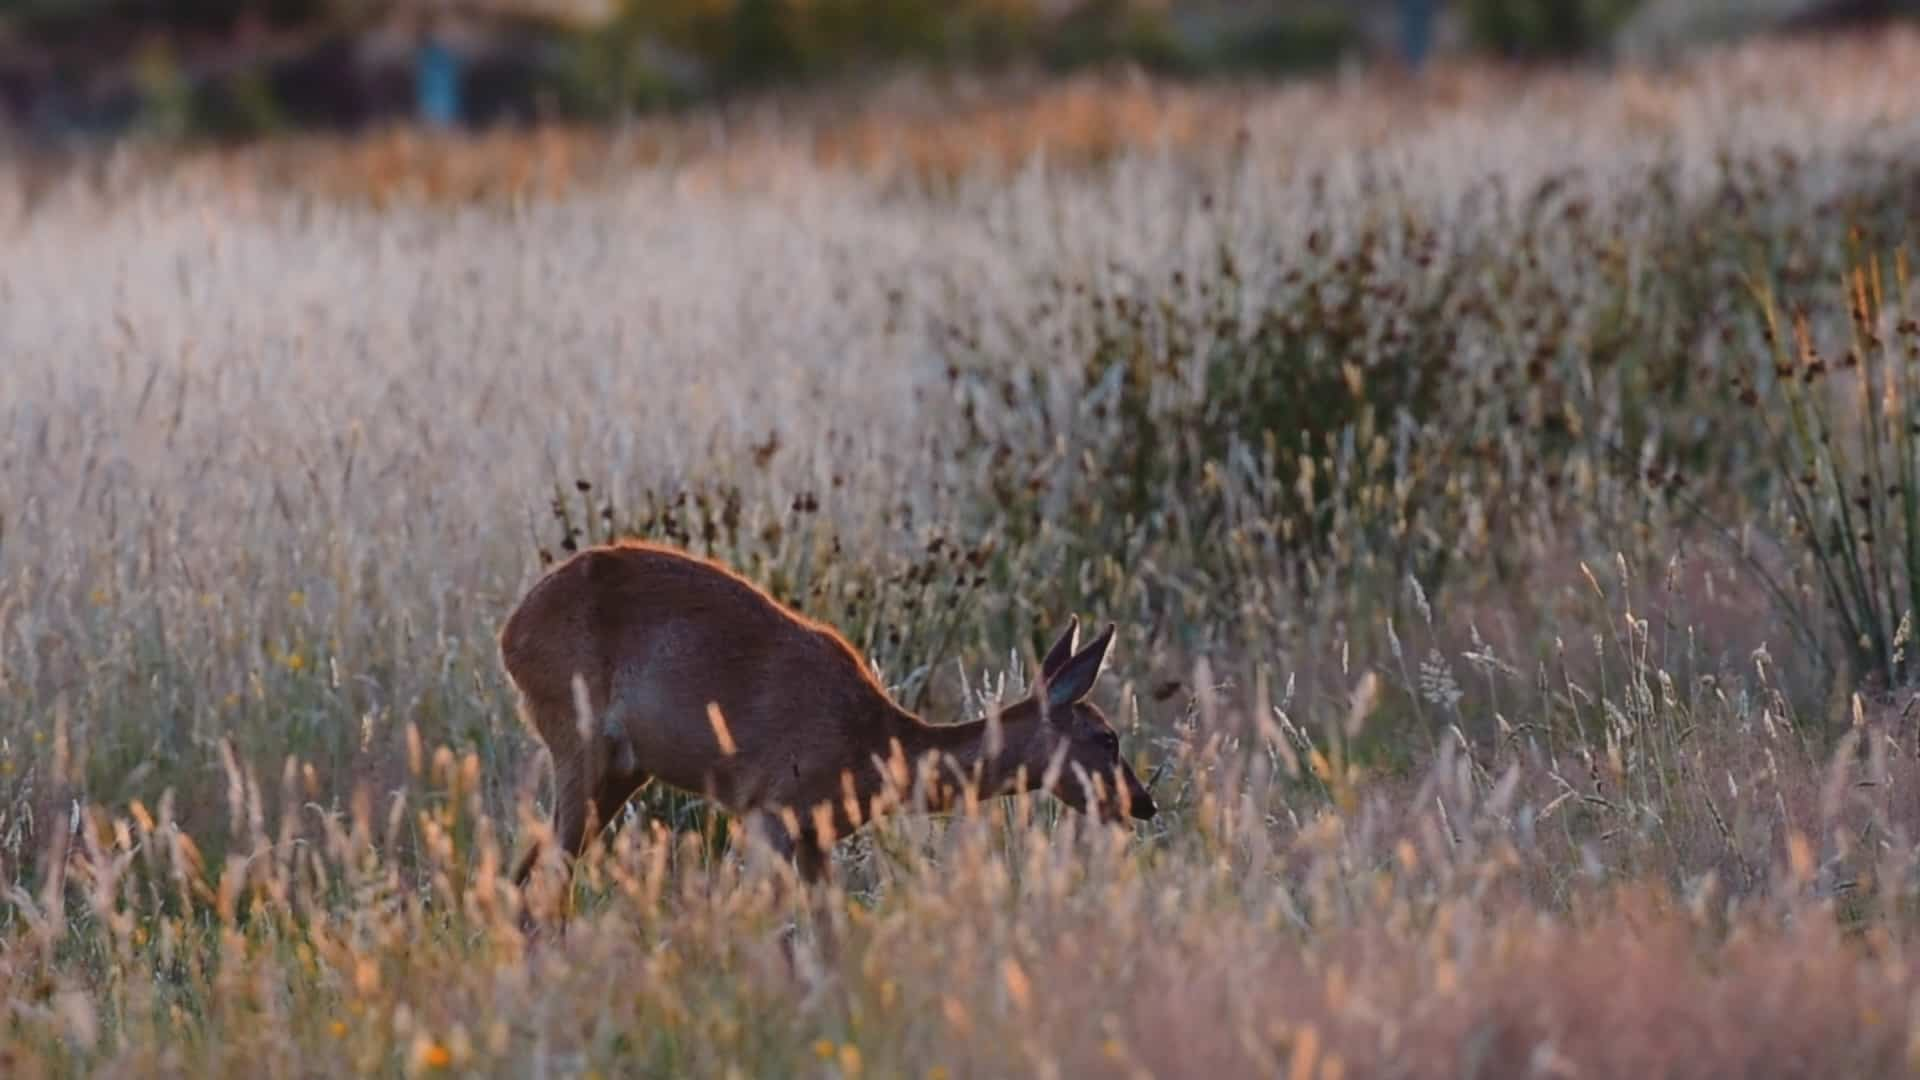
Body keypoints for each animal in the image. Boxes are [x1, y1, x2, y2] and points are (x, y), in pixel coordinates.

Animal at [499, 538, 1152, 914]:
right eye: (1107, 738)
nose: (1143, 803)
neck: (875, 749)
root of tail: (511, 631)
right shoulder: (771, 812)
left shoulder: (813, 838)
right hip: (578, 742)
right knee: (541, 883)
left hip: (620, 771)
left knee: (527, 874)